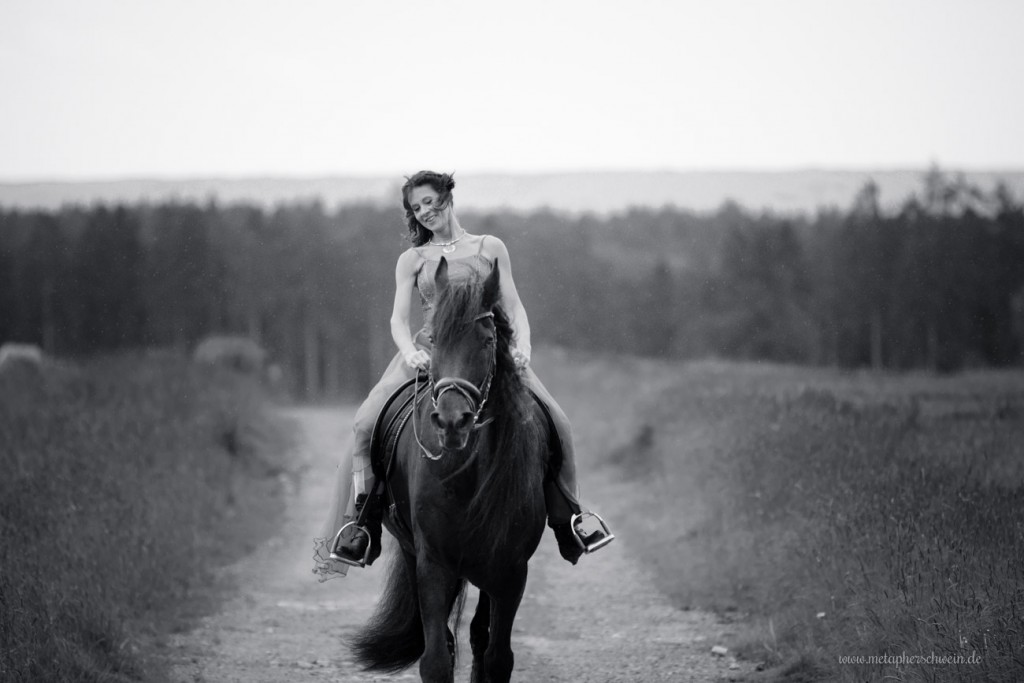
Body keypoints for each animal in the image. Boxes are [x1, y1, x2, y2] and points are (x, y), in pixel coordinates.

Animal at [348, 258, 552, 683]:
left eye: (489, 341)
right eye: (434, 339)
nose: (453, 421)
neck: (466, 470)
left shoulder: (511, 571)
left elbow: (496, 657)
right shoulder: (433, 563)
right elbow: (436, 659)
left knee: (478, 636)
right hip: (412, 550)